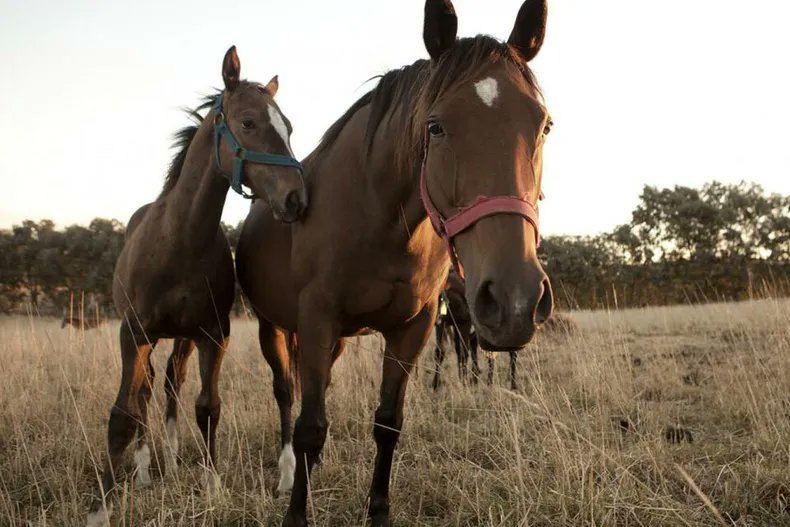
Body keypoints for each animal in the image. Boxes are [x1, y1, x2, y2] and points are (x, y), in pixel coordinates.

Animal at [88, 47, 308, 524]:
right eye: (248, 122)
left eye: (288, 126)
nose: (296, 199)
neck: (180, 239)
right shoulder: (133, 334)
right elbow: (123, 413)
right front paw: (100, 507)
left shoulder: (212, 334)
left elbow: (208, 407)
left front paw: (212, 484)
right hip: (150, 338)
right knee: (148, 391)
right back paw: (145, 469)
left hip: (183, 338)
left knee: (172, 382)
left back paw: (170, 460)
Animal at [238, 2, 552, 524]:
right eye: (435, 126)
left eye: (544, 125)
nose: (514, 301)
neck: (378, 220)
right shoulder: (317, 319)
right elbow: (308, 425)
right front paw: (298, 511)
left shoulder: (414, 328)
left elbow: (388, 423)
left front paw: (378, 510)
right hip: (274, 327)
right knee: (287, 395)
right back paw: (289, 471)